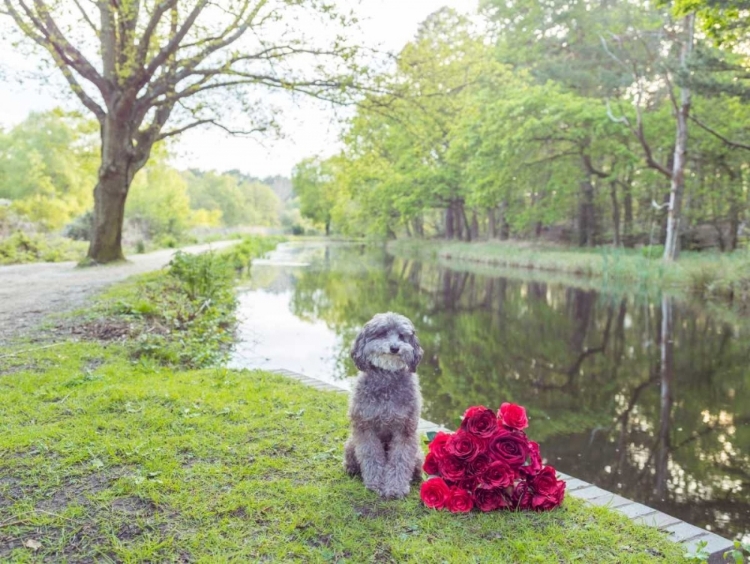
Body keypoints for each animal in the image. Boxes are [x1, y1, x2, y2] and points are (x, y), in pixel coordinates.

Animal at [346, 312, 426, 498]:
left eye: (402, 336)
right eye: (382, 333)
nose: (395, 348)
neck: (387, 378)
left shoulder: (404, 430)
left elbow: (400, 458)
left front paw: (396, 488)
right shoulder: (365, 427)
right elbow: (371, 455)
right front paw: (375, 483)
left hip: (418, 454)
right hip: (351, 445)